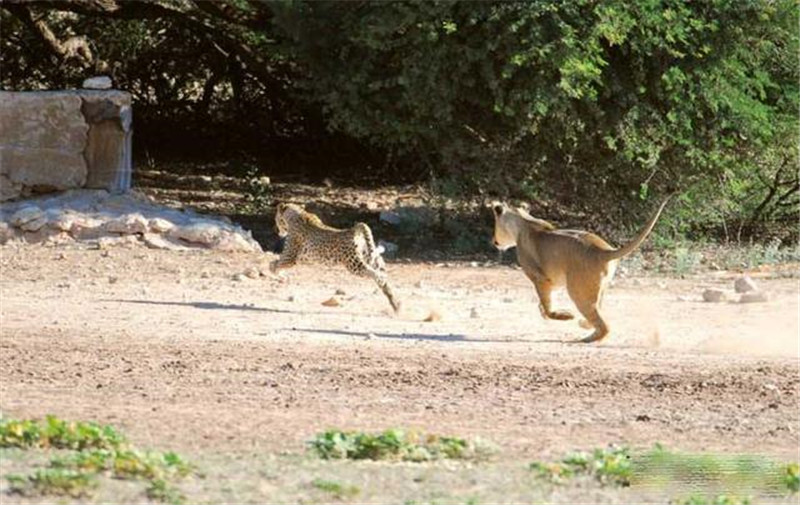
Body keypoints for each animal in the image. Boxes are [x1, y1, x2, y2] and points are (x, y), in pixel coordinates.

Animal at [268, 201, 400, 312]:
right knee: (381, 270)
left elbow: (273, 264)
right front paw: (281, 275)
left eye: (275, 218)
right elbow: (275, 264)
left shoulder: (290, 257)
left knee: (375, 273)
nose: (276, 230)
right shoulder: (301, 259)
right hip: (368, 257)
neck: (295, 215)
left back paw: (387, 290)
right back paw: (396, 304)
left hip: (354, 265)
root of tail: (353, 230)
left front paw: (279, 275)